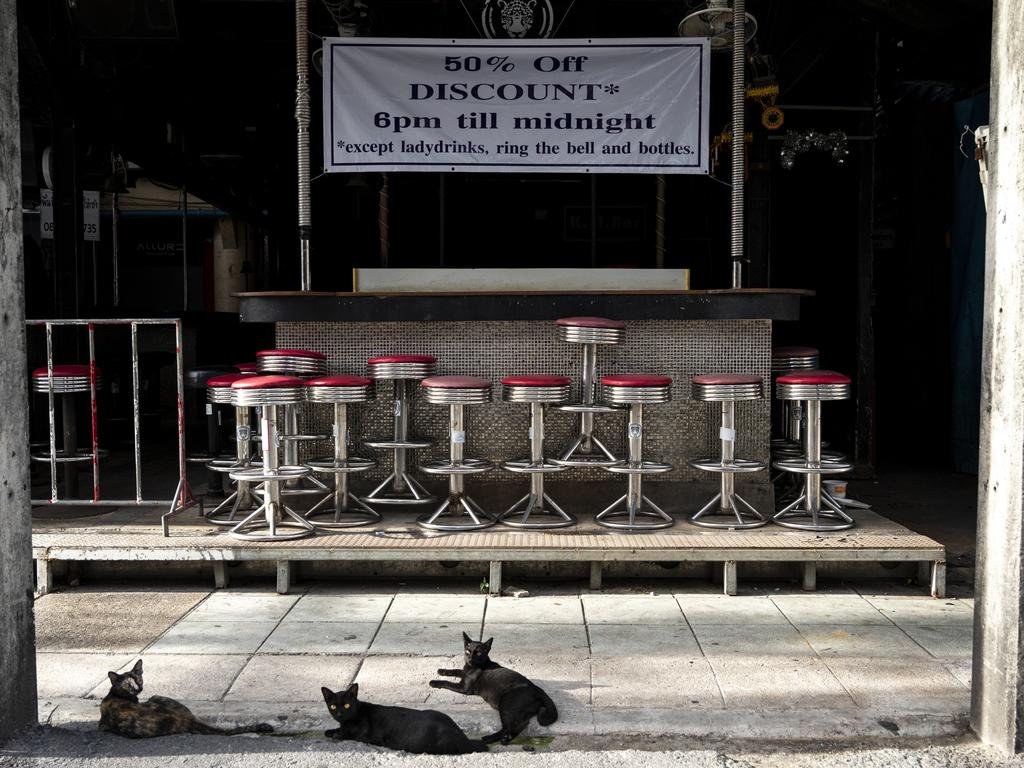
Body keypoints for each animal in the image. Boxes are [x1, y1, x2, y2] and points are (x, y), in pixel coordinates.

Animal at [98, 663, 274, 741]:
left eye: (138, 679)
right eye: (128, 684)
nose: (137, 689)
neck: (116, 695)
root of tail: (187, 718)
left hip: (156, 696)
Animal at [323, 684, 491, 757]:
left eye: (347, 705)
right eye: (333, 706)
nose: (339, 714)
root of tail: (462, 737)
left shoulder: (363, 735)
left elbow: (346, 734)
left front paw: (337, 734)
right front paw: (330, 731)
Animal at [432, 634, 561, 749]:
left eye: (478, 653)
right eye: (468, 651)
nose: (470, 659)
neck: (473, 667)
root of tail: (536, 688)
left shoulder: (464, 687)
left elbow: (447, 683)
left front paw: (433, 682)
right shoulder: (464, 673)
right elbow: (457, 670)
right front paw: (441, 670)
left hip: (506, 705)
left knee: (509, 727)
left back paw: (489, 738)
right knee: (522, 724)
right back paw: (506, 739)